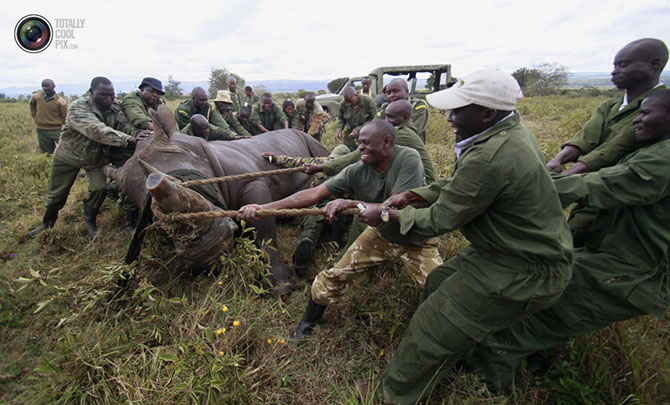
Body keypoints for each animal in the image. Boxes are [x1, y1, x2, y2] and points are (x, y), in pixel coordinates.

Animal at [104, 104, 330, 294]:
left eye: (195, 183)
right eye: (155, 221)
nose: (208, 250)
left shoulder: (253, 181)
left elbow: (263, 229)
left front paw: (280, 286)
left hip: (306, 137)